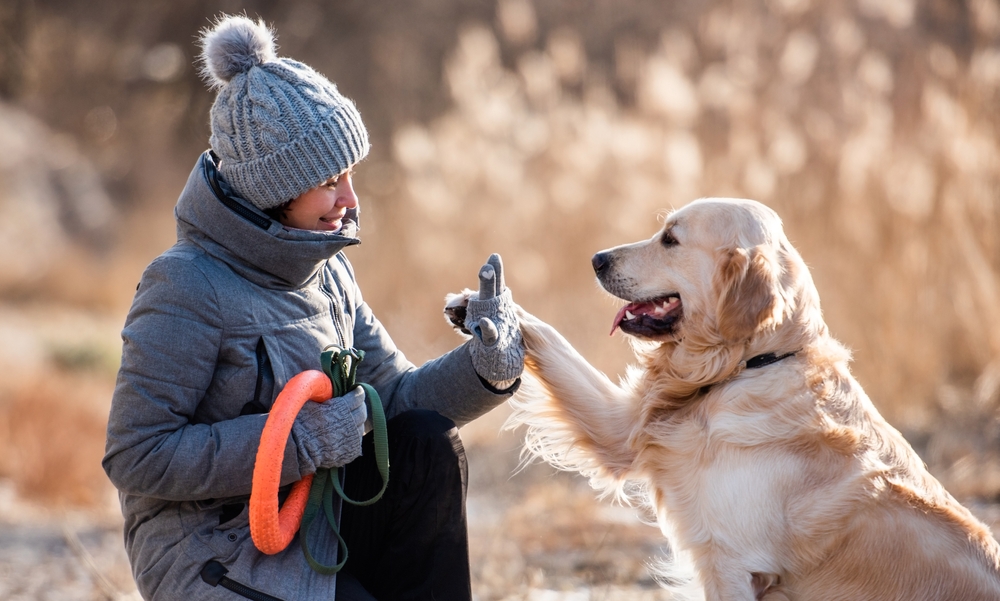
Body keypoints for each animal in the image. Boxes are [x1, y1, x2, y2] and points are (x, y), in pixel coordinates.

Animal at [452, 198, 1000, 600]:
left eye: (671, 239)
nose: (597, 259)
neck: (748, 364)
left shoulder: (733, 564)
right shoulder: (619, 428)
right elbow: (548, 337)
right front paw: (483, 308)